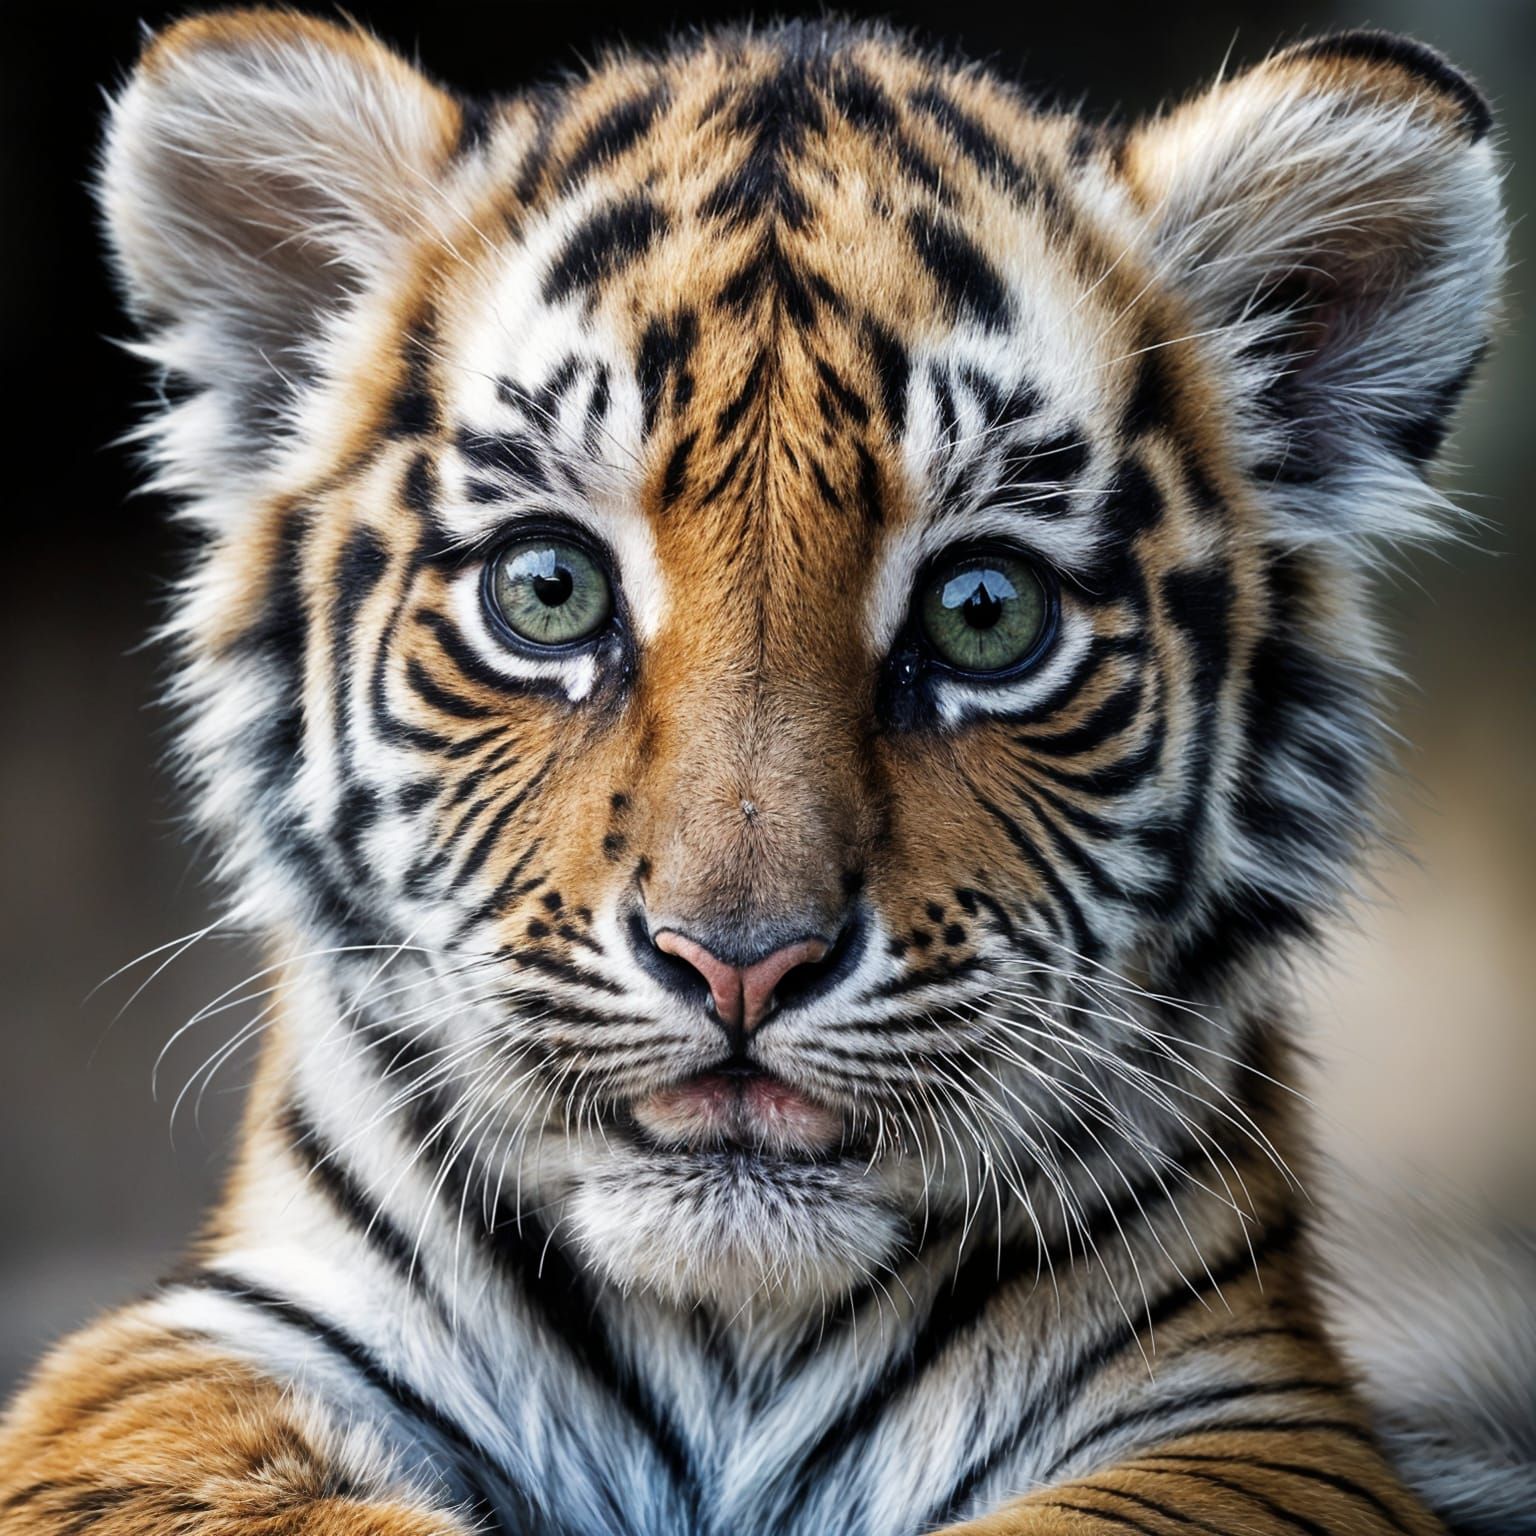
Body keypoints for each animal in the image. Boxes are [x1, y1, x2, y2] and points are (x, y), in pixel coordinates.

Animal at [0, 8, 1525, 1534]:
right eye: (547, 590)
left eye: (985, 611)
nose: (740, 964)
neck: (729, 1328)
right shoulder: (188, 1354)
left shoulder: (1252, 1416)